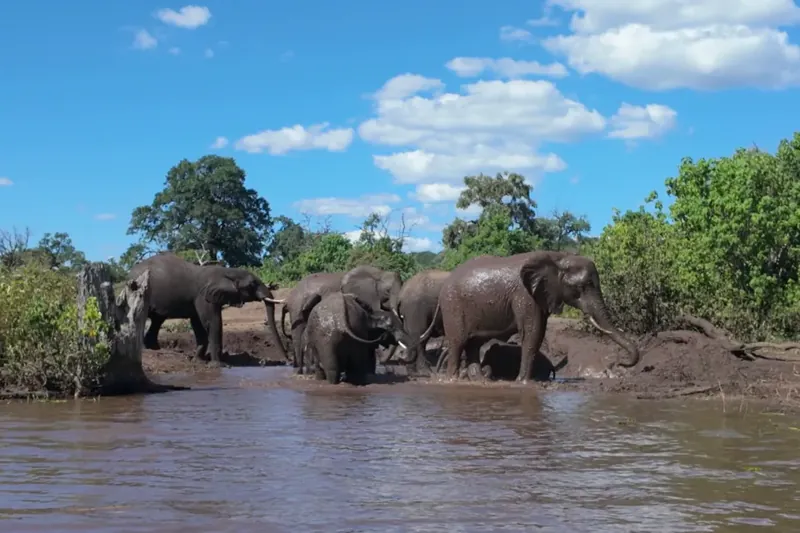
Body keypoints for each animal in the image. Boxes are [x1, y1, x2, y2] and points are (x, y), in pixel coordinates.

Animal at [129, 252, 285, 366]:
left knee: (157, 320)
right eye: (252, 284)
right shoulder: (203, 296)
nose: (287, 361)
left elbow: (198, 324)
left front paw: (198, 360)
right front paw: (219, 366)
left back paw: (154, 348)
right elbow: (212, 322)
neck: (227, 271)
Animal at [434, 250, 640, 382]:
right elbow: (532, 332)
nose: (619, 363)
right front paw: (524, 383)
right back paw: (452, 381)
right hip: (452, 305)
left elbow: (538, 333)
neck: (559, 258)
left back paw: (479, 380)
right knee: (458, 342)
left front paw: (524, 381)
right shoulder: (525, 295)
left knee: (473, 344)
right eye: (583, 286)